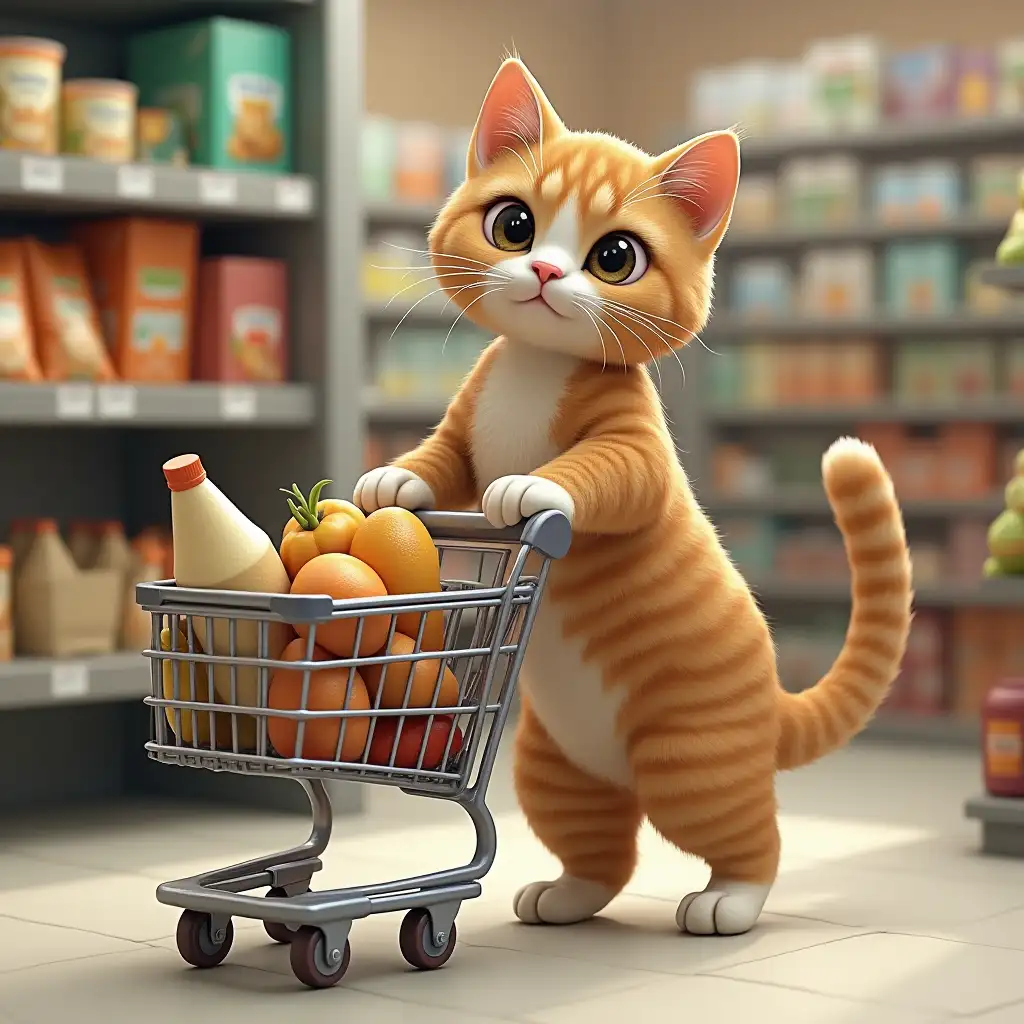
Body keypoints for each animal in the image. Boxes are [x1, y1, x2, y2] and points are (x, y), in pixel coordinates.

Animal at [356, 56, 917, 937]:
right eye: (514, 225)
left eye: (615, 256)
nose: (547, 271)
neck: (537, 365)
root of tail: (770, 709)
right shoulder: (466, 419)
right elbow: (441, 457)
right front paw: (394, 476)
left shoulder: (634, 445)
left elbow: (601, 473)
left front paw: (534, 483)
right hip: (554, 767)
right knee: (604, 854)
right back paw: (566, 893)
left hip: (689, 762)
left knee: (755, 838)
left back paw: (730, 899)